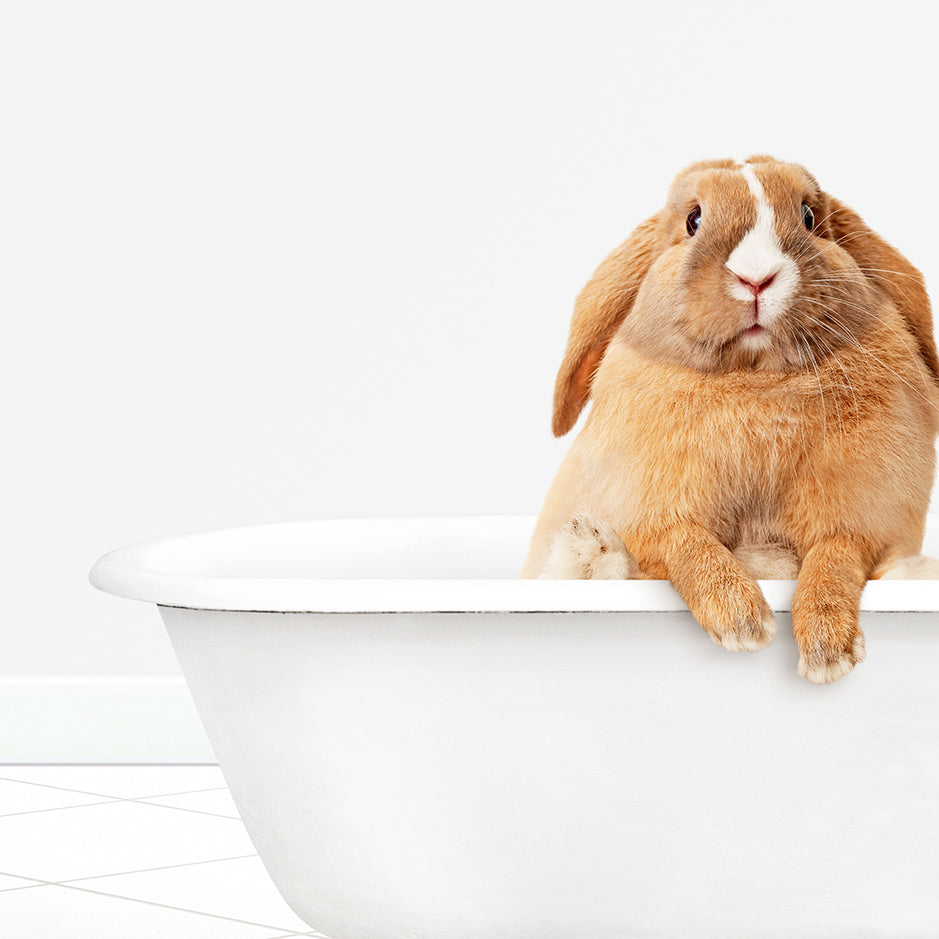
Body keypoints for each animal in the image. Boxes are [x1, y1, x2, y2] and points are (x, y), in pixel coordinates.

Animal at [520, 154, 939, 684]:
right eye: (693, 220)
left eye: (808, 216)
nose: (756, 278)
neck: (753, 379)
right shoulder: (654, 510)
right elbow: (689, 544)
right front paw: (744, 624)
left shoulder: (858, 519)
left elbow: (834, 560)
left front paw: (828, 652)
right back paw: (591, 548)